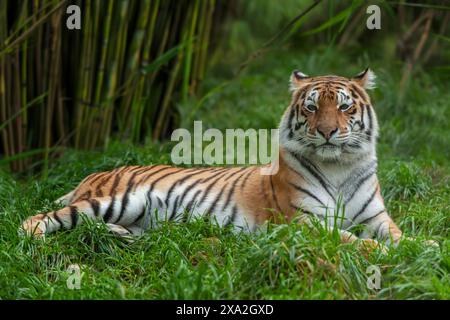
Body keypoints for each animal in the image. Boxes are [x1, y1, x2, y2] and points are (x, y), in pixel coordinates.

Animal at [22, 69, 414, 249]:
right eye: (312, 107)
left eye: (344, 107)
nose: (328, 131)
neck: (339, 167)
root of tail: (89, 176)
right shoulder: (305, 223)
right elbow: (355, 241)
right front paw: (384, 253)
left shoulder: (376, 217)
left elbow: (398, 236)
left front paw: (421, 246)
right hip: (119, 199)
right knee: (39, 218)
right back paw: (35, 243)